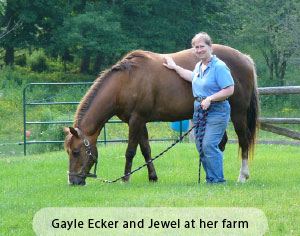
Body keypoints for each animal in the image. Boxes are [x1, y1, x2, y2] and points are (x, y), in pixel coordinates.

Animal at [62, 43, 258, 184]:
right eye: (68, 151)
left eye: (77, 152)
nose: (72, 181)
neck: (126, 82)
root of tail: (246, 59)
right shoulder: (139, 121)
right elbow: (146, 150)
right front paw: (153, 177)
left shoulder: (136, 120)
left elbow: (130, 151)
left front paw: (125, 178)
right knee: (220, 143)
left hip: (238, 114)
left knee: (243, 140)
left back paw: (242, 176)